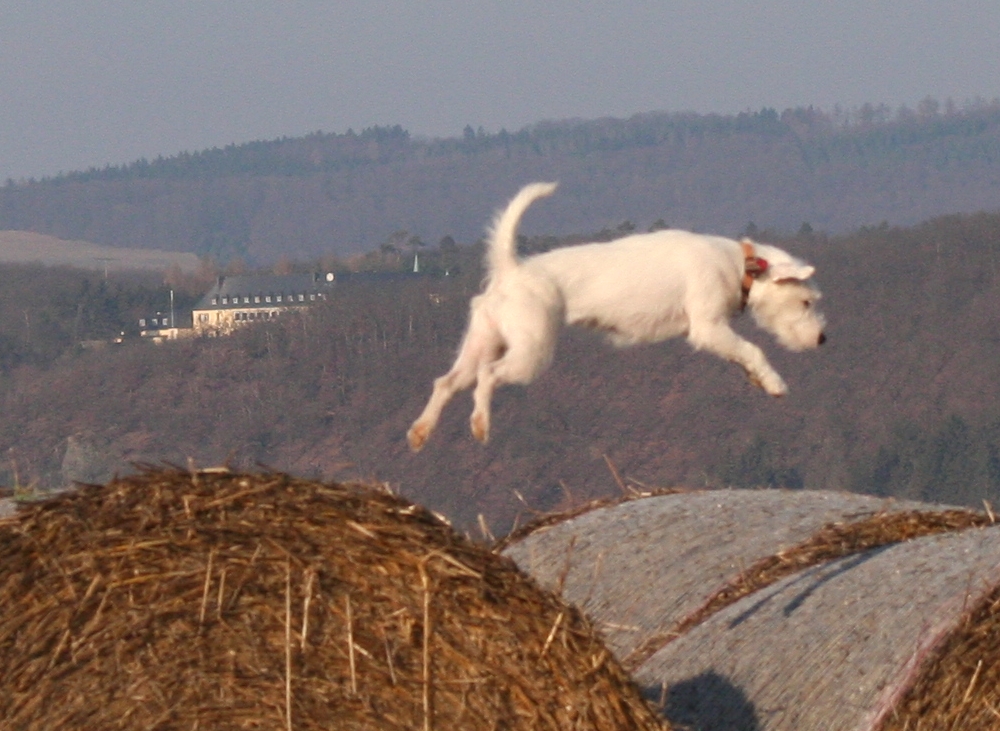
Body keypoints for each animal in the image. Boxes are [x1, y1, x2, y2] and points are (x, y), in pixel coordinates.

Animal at [406, 182, 828, 452]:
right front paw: (775, 382)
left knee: (447, 383)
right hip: (529, 354)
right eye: (806, 302)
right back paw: (480, 423)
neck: (741, 265)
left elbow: (742, 355)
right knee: (487, 377)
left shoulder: (718, 334)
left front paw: (759, 380)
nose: (823, 339)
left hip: (482, 342)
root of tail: (512, 270)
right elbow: (754, 350)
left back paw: (420, 432)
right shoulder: (707, 328)